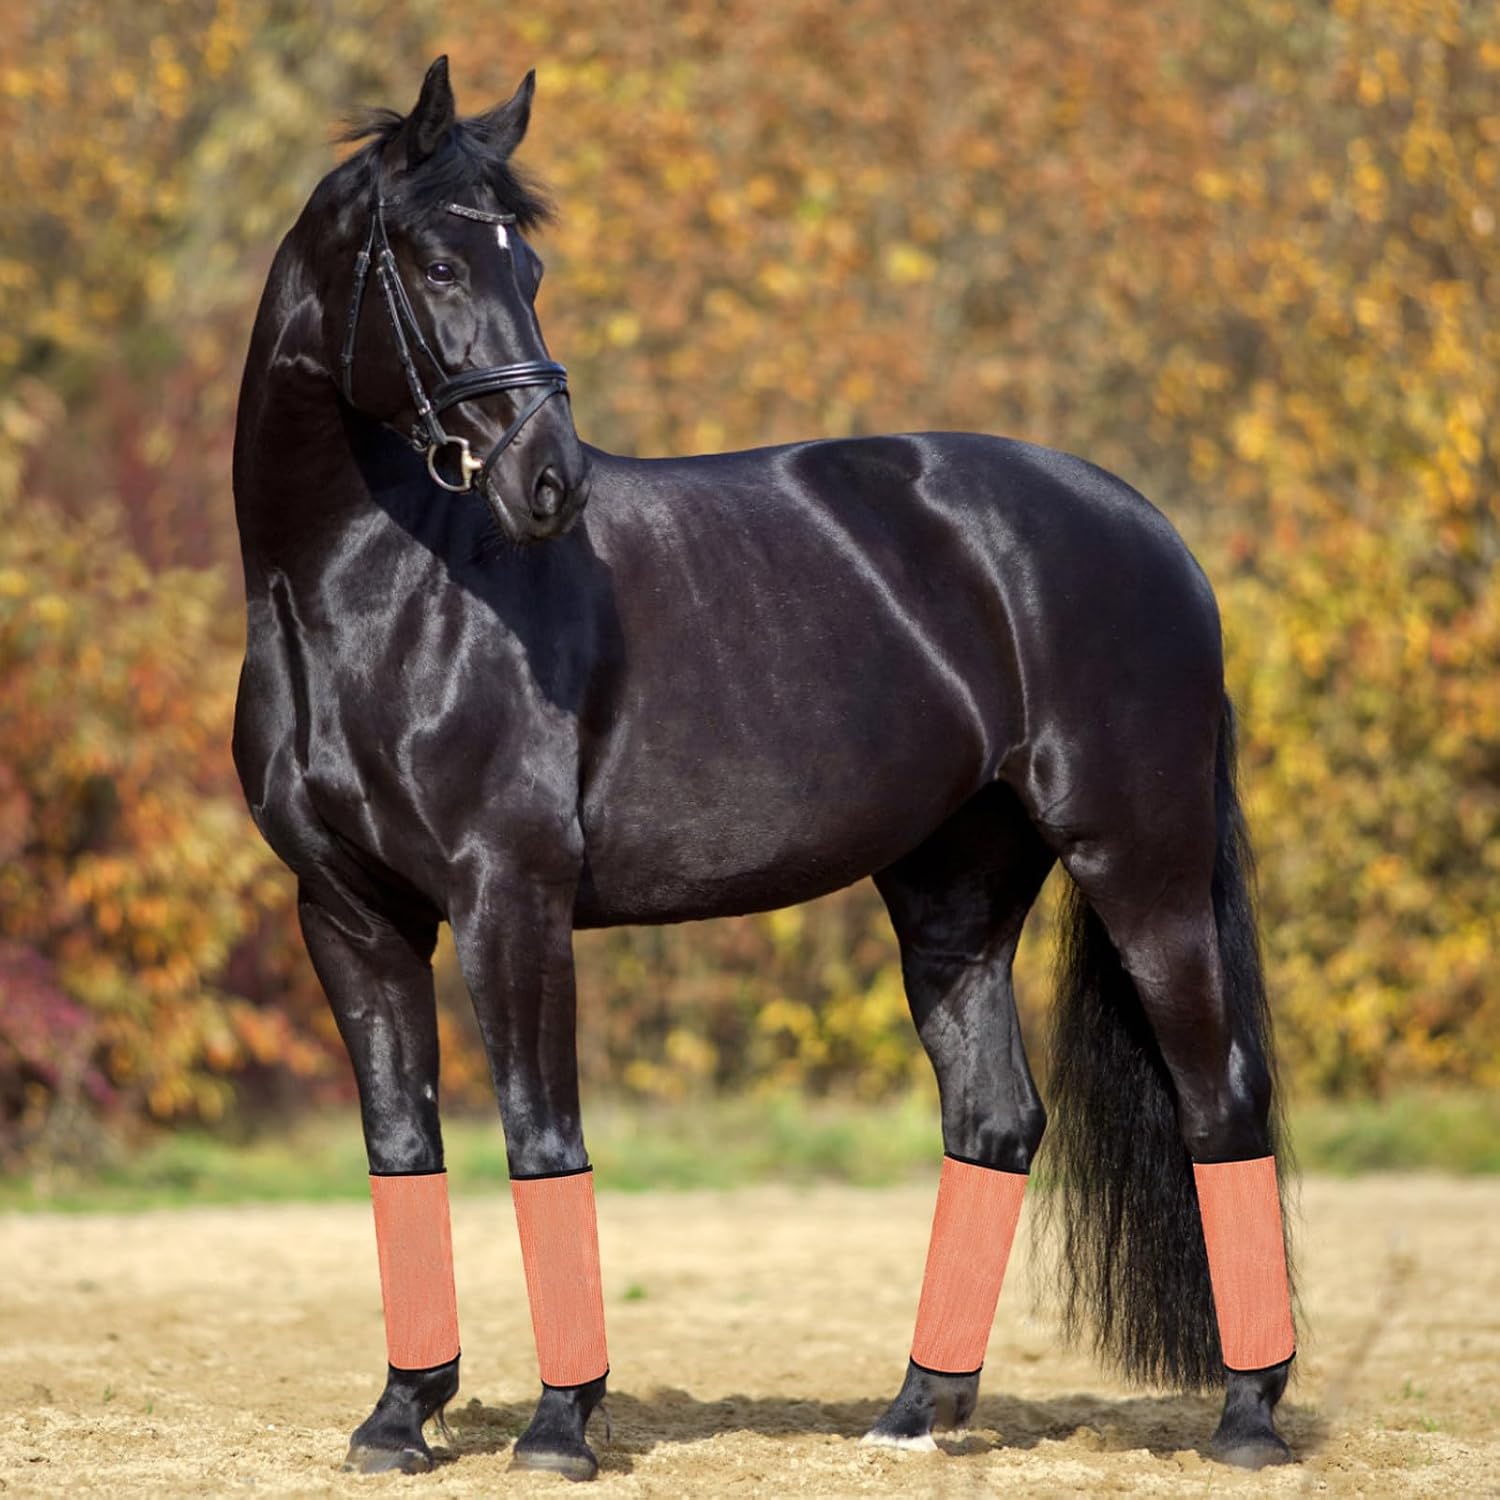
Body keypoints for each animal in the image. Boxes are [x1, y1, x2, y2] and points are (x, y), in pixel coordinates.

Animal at [232, 56, 1296, 1481]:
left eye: (530, 266)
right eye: (439, 264)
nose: (550, 482)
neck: (373, 592)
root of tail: (1154, 534)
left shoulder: (510, 898)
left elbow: (540, 1136)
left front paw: (561, 1427)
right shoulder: (349, 913)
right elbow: (402, 1148)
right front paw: (402, 1416)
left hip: (1144, 865)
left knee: (1218, 1100)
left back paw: (1249, 1415)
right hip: (954, 894)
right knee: (995, 1116)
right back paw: (916, 1411)